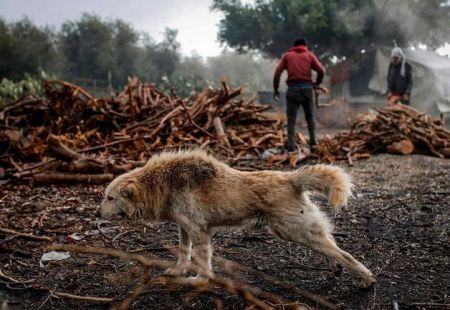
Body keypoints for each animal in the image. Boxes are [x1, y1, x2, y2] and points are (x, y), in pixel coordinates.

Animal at [97, 150, 376, 288]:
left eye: (110, 198)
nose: (97, 214)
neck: (163, 182)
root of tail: (291, 178)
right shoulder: (184, 228)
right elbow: (183, 253)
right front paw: (179, 270)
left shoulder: (199, 231)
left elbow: (202, 262)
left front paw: (198, 281)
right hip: (297, 230)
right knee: (332, 243)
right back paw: (336, 268)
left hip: (294, 230)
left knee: (344, 253)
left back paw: (367, 279)